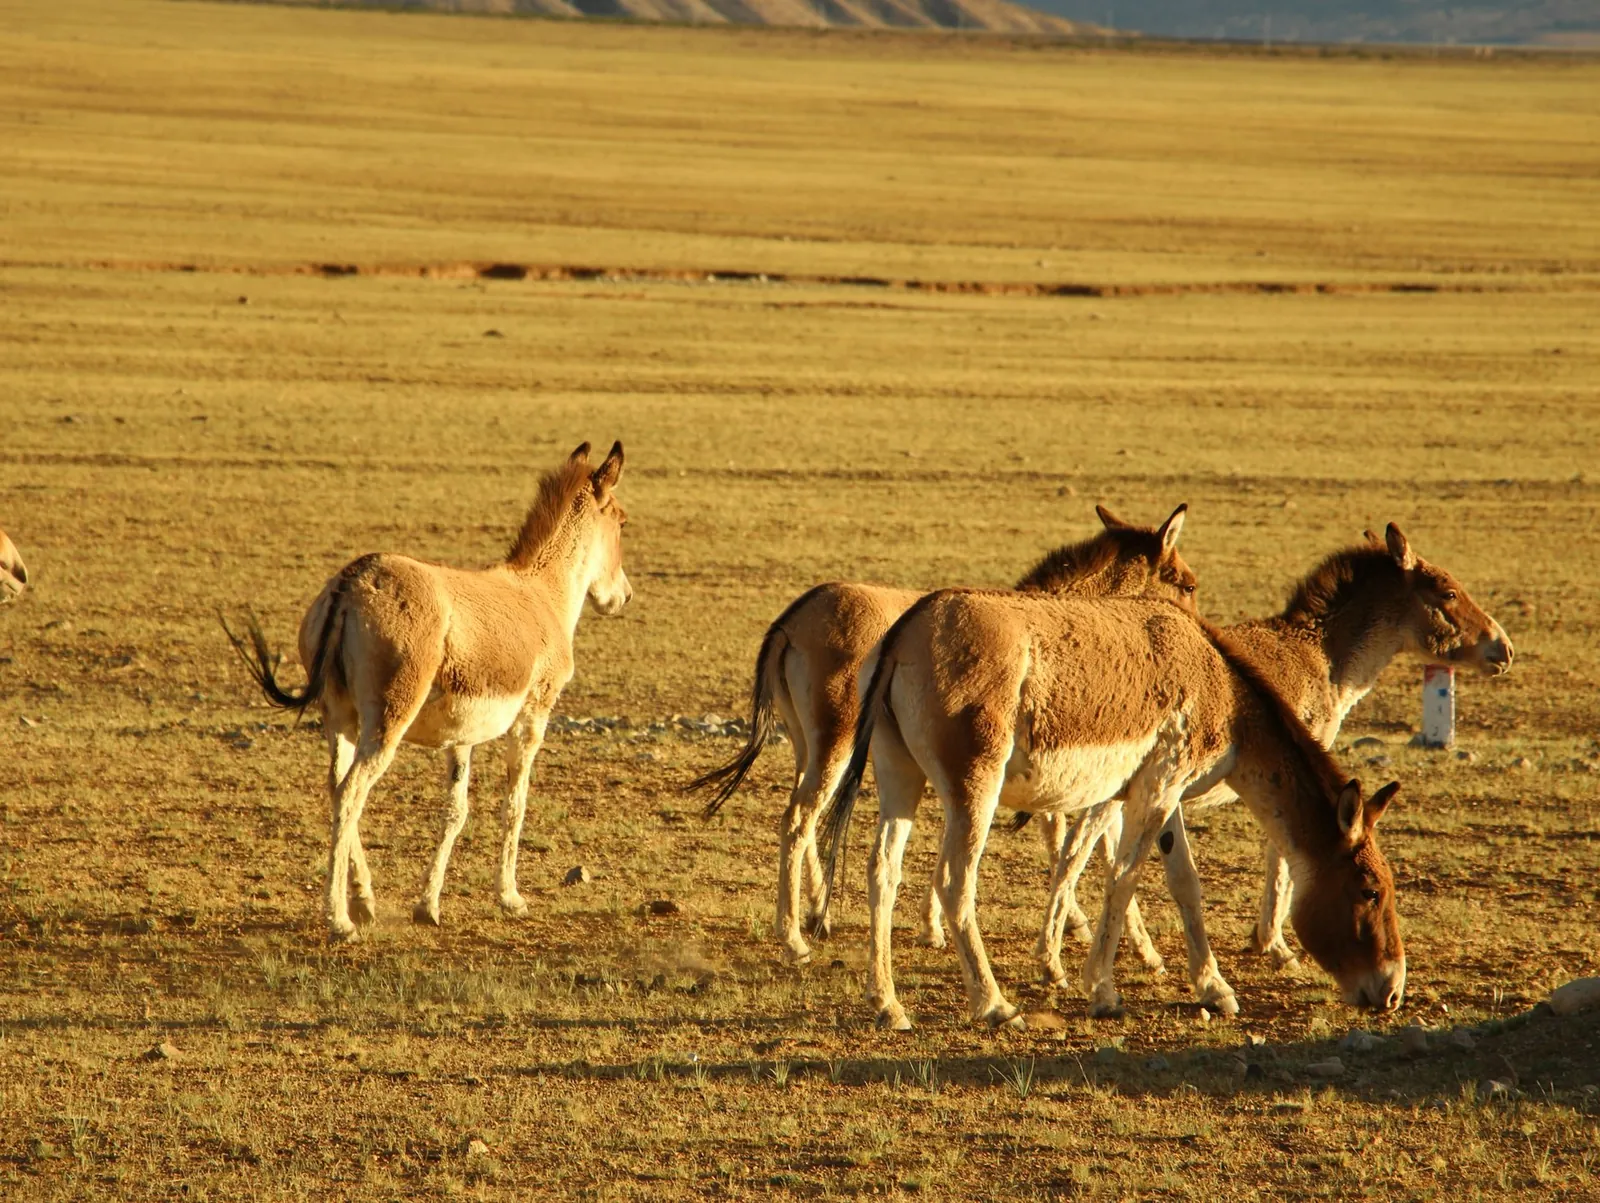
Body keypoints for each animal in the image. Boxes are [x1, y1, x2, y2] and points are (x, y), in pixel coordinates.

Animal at [225, 442, 631, 943]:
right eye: (623, 520)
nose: (624, 597)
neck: (541, 592)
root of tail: (353, 580)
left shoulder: (461, 736)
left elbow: (456, 811)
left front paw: (427, 905)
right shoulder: (534, 716)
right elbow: (514, 805)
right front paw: (510, 898)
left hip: (338, 718)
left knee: (335, 787)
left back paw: (365, 900)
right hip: (389, 718)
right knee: (351, 792)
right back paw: (339, 919)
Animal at [686, 504, 1196, 966]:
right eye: (1188, 584)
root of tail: (795, 616)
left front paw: (934, 927)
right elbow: (1075, 844)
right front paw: (1117, 940)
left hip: (806, 747)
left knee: (806, 820)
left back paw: (818, 916)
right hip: (836, 744)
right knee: (797, 820)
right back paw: (794, 939)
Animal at [821, 592, 1405, 1029]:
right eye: (1370, 890)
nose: (1392, 992)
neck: (1220, 686)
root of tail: (910, 625)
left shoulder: (1164, 793)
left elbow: (1184, 882)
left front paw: (1214, 988)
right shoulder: (1158, 787)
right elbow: (1124, 877)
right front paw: (1102, 990)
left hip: (899, 774)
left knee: (883, 870)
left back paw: (888, 1005)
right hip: (974, 787)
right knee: (953, 880)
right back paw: (994, 1005)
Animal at [1030, 523, 1511, 1003]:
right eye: (1449, 593)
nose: (1504, 648)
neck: (1320, 657)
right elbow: (1279, 856)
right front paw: (1273, 945)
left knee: (1076, 847)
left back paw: (1075, 954)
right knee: (1075, 845)